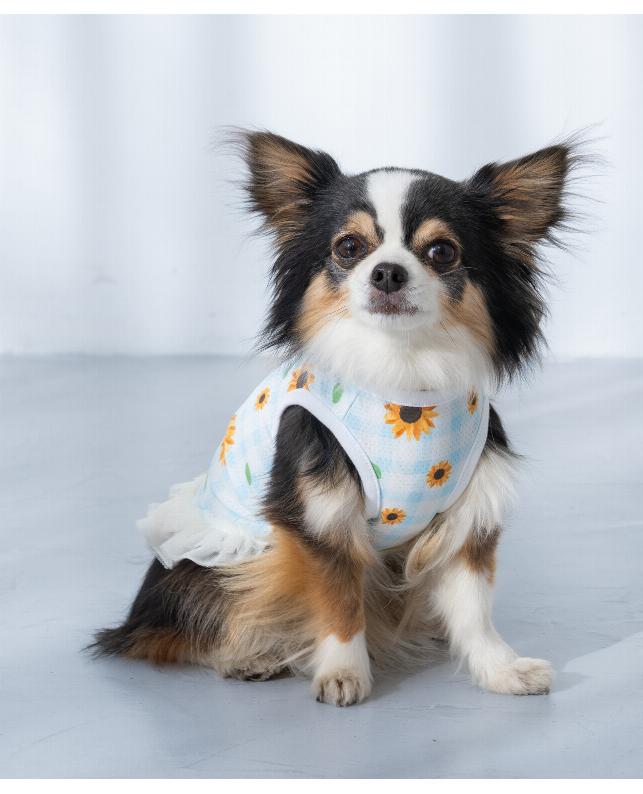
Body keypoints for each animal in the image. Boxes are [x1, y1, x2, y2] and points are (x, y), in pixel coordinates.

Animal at [94, 130, 581, 706]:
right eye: (349, 247)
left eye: (441, 252)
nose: (388, 271)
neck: (403, 376)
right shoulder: (320, 519)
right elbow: (339, 599)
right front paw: (344, 674)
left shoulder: (468, 516)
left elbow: (474, 609)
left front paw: (500, 669)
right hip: (217, 564)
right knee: (180, 632)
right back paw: (248, 656)